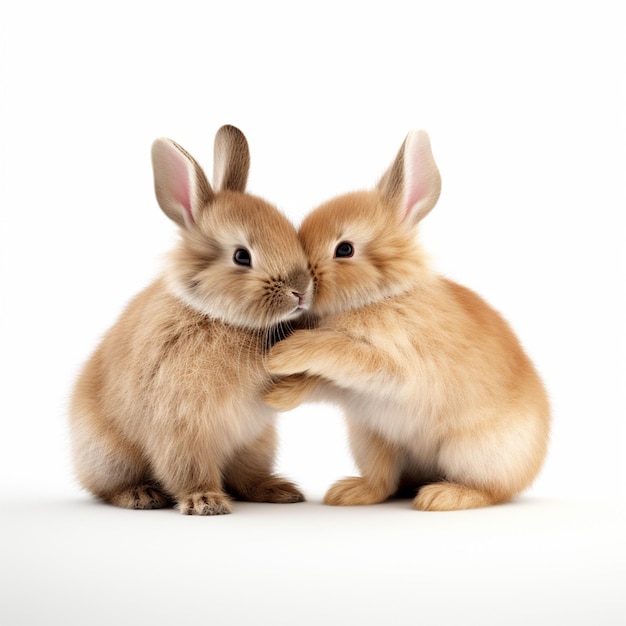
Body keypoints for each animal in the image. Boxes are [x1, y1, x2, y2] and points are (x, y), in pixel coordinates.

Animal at [70, 124, 312, 516]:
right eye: (241, 256)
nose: (301, 291)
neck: (214, 315)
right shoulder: (182, 427)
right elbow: (189, 469)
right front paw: (205, 502)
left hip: (258, 443)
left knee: (247, 478)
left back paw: (280, 490)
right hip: (110, 457)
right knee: (109, 488)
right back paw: (142, 495)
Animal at [266, 129, 548, 510]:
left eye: (345, 249)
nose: (301, 286)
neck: (383, 295)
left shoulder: (395, 362)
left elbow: (337, 350)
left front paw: (283, 356)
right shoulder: (350, 390)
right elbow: (320, 380)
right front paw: (278, 397)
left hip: (473, 452)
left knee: (490, 490)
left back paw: (441, 497)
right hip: (371, 439)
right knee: (385, 482)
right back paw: (347, 493)